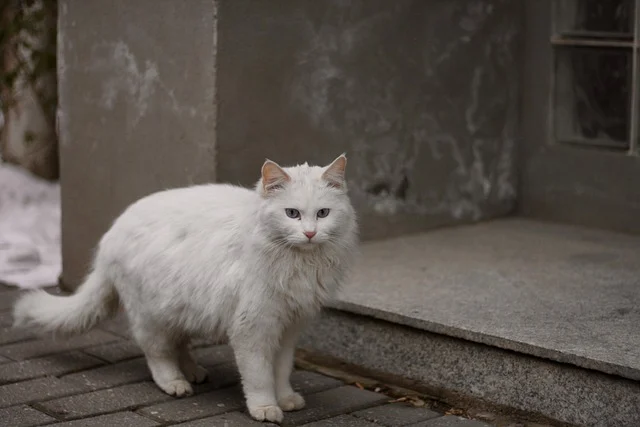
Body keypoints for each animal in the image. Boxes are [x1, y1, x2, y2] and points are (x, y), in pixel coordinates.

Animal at [12, 155, 358, 424]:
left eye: (323, 214)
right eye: (292, 214)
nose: (310, 233)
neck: (300, 263)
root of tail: (111, 234)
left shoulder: (289, 327)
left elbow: (281, 371)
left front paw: (286, 398)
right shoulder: (253, 328)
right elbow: (259, 376)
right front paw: (265, 408)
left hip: (182, 308)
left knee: (179, 344)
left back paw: (193, 371)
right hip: (151, 317)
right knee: (157, 353)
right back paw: (175, 382)